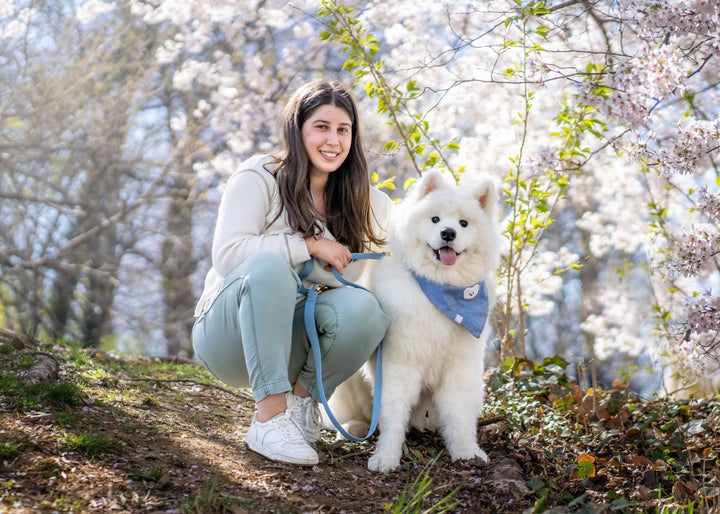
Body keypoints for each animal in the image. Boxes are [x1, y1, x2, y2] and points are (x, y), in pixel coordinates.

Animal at [328, 169, 500, 472]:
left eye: (464, 223)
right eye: (435, 219)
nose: (448, 233)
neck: (440, 290)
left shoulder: (460, 367)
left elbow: (459, 415)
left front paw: (467, 453)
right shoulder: (399, 363)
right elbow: (393, 415)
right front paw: (386, 457)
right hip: (348, 382)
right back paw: (353, 428)